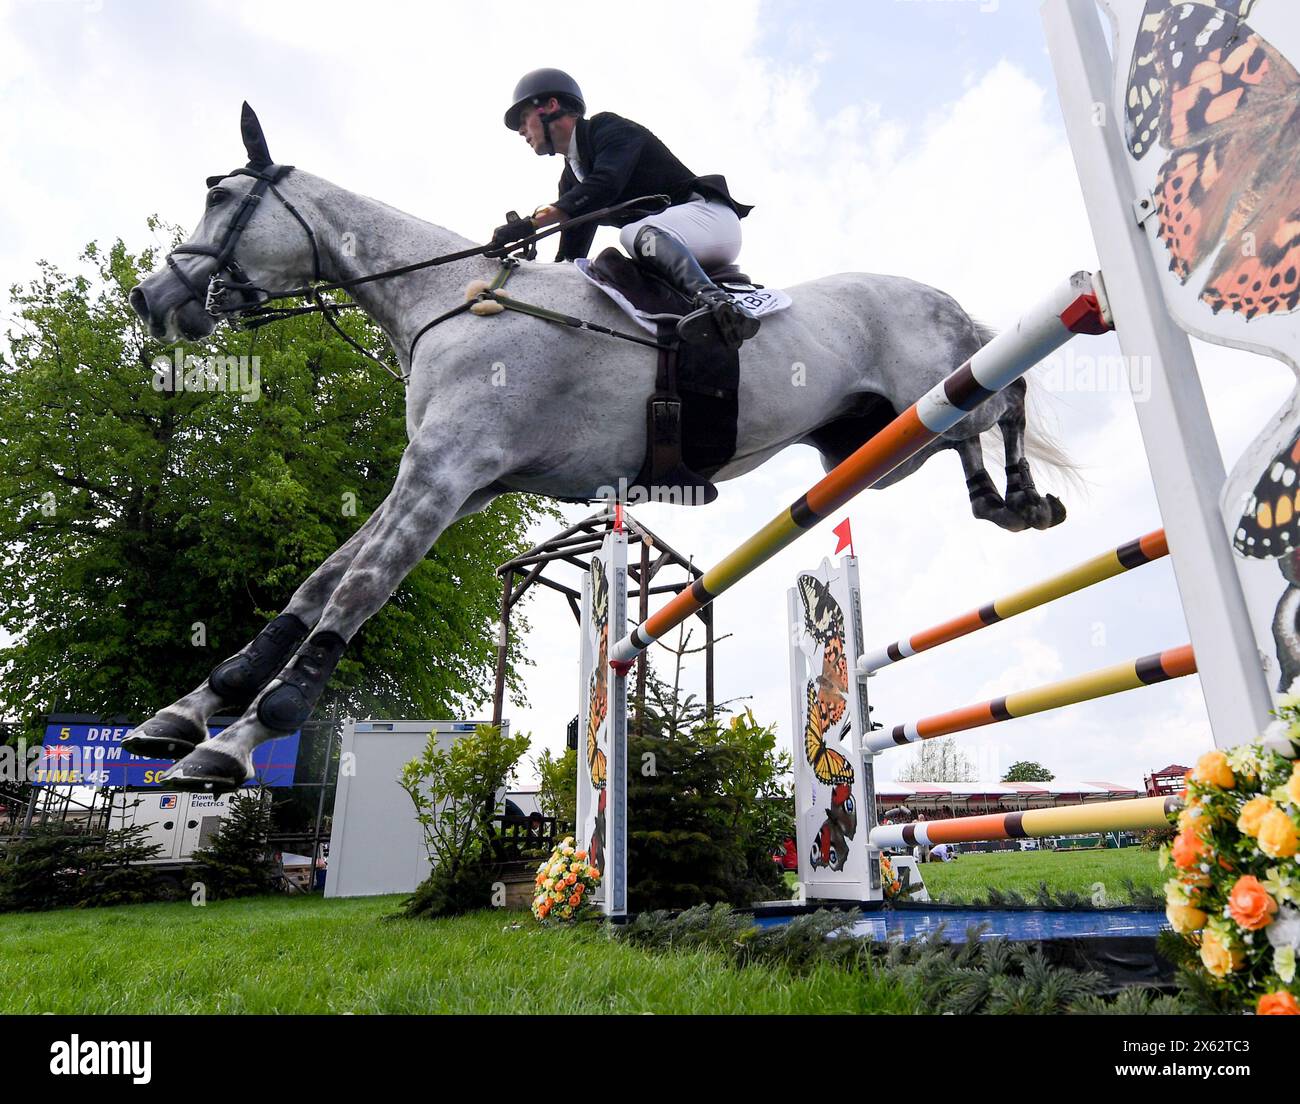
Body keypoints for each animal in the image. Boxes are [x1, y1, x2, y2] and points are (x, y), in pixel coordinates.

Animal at [126, 105, 1071, 790]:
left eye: (220, 198)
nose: (149, 297)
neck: (447, 301)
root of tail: (937, 296)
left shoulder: (444, 476)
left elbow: (355, 590)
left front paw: (237, 738)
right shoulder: (447, 480)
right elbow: (317, 583)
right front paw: (186, 710)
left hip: (931, 389)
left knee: (1006, 394)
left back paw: (1026, 498)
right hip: (885, 448)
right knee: (965, 433)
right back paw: (995, 500)